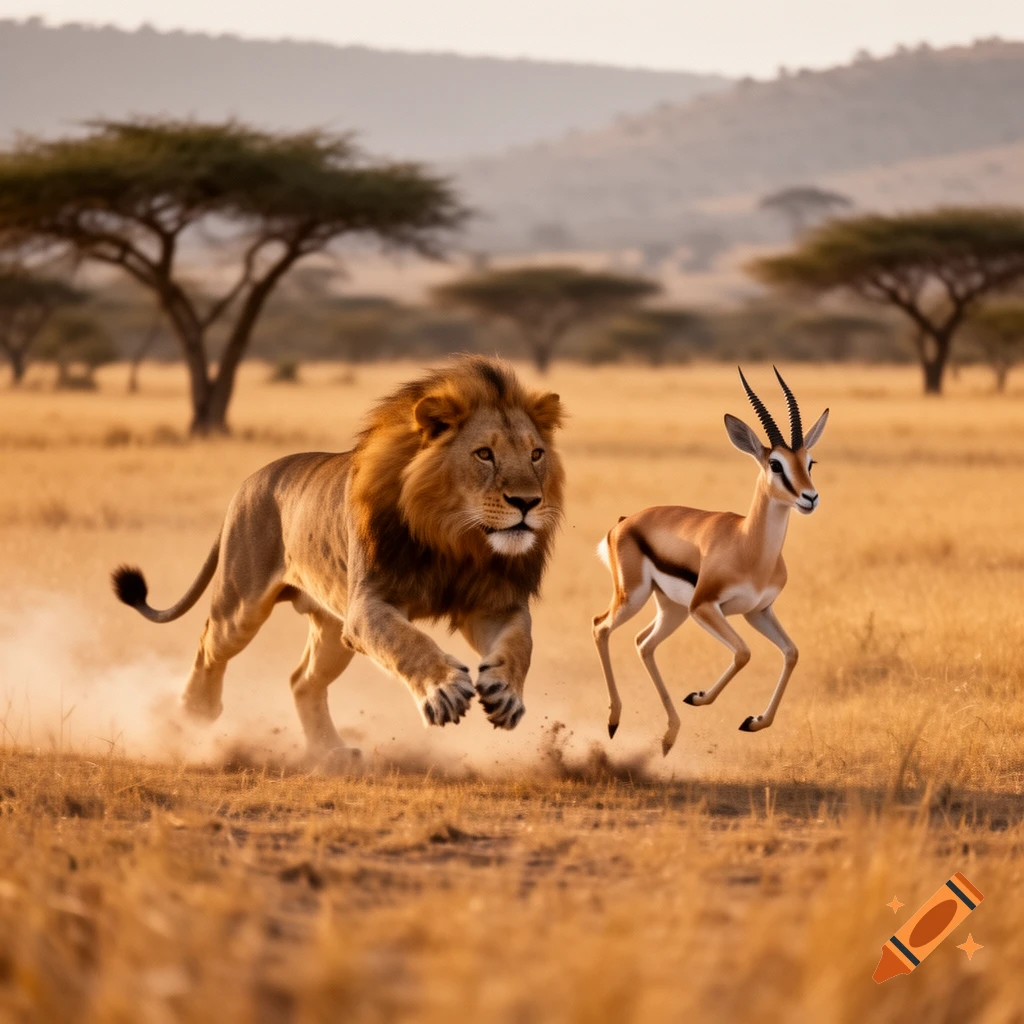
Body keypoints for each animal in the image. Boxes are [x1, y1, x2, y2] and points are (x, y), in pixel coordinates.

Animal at [112, 355, 565, 758]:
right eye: (484, 454)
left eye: (536, 454)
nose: (527, 502)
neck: (454, 539)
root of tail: (248, 482)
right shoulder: (367, 606)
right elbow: (408, 641)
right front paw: (444, 690)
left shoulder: (493, 604)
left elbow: (520, 643)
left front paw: (507, 694)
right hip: (242, 605)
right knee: (210, 643)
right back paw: (194, 713)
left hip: (332, 627)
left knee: (302, 682)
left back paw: (331, 753)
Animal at [592, 368, 828, 755]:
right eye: (775, 464)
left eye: (809, 462)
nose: (810, 498)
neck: (748, 546)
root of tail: (624, 521)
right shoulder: (705, 607)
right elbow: (744, 653)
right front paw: (698, 696)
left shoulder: (758, 611)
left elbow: (791, 652)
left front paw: (754, 722)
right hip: (636, 598)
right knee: (601, 627)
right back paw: (614, 721)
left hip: (672, 609)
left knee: (644, 643)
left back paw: (669, 737)